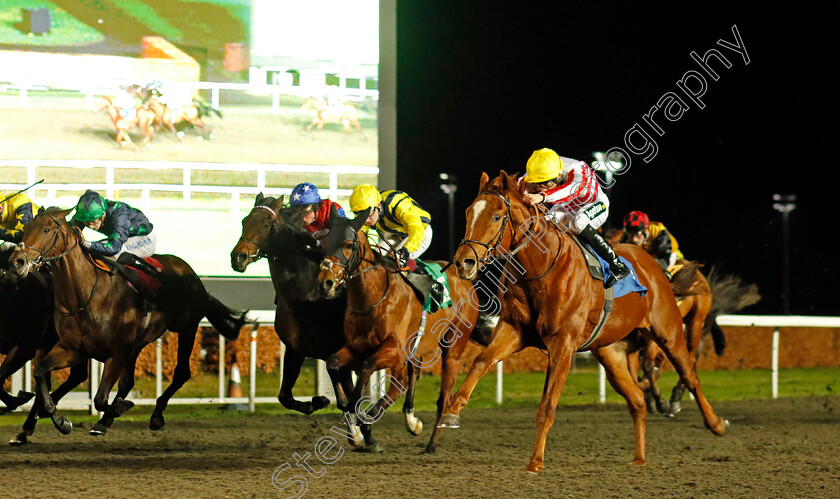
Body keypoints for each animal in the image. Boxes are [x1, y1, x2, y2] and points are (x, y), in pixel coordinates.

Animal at [9, 207, 246, 438]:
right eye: (25, 229)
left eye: (46, 230)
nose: (17, 261)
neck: (85, 296)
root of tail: (194, 277)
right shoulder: (73, 349)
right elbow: (40, 371)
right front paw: (60, 421)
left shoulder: (115, 353)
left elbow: (100, 399)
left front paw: (120, 407)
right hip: (136, 344)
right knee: (128, 382)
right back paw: (103, 422)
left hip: (186, 328)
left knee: (181, 373)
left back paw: (155, 416)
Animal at [318, 207, 482, 454]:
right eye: (325, 243)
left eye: (347, 244)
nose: (325, 283)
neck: (372, 296)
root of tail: (465, 281)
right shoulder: (358, 347)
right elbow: (332, 363)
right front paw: (353, 420)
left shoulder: (394, 349)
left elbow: (368, 370)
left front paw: (362, 423)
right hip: (416, 347)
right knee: (408, 378)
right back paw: (410, 421)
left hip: (452, 347)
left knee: (440, 396)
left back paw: (431, 444)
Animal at [436, 174, 724, 474]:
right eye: (468, 213)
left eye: (495, 216)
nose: (464, 262)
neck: (542, 266)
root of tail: (654, 267)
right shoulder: (513, 330)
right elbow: (481, 361)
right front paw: (451, 412)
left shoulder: (562, 343)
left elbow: (548, 404)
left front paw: (536, 461)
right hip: (611, 354)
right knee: (636, 400)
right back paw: (639, 457)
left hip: (669, 332)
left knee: (690, 376)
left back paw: (714, 423)